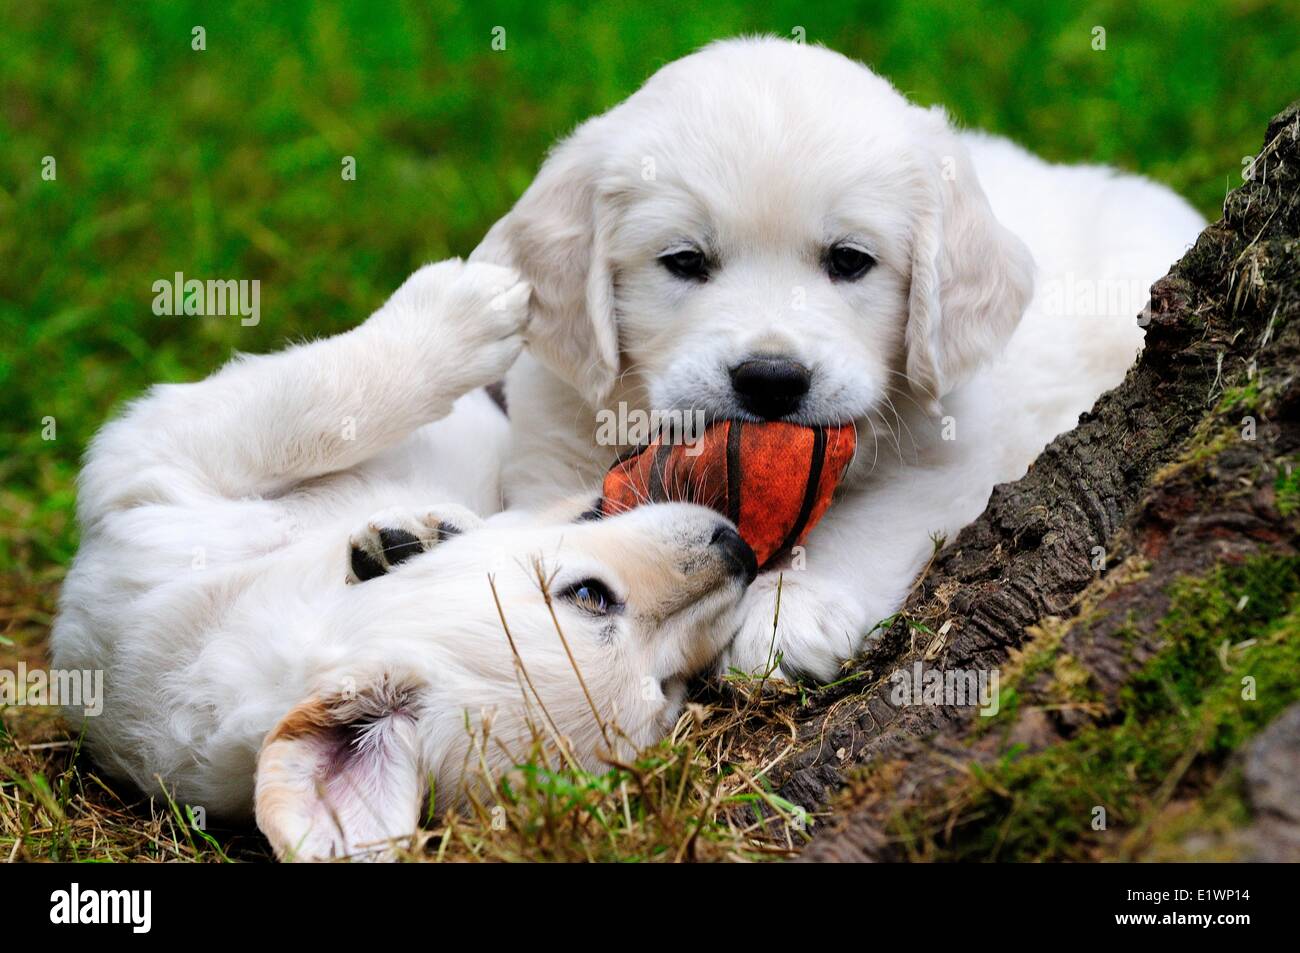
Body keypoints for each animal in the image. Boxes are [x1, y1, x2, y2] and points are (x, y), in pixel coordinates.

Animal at [50, 260, 759, 863]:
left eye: (667, 692)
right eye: (589, 596)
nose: (744, 552)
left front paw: (411, 536)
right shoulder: (151, 468)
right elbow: (324, 400)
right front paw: (464, 311)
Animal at [470, 35, 1206, 676]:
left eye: (850, 260)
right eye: (683, 261)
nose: (770, 380)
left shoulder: (953, 457)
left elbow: (866, 521)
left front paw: (790, 612)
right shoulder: (554, 440)